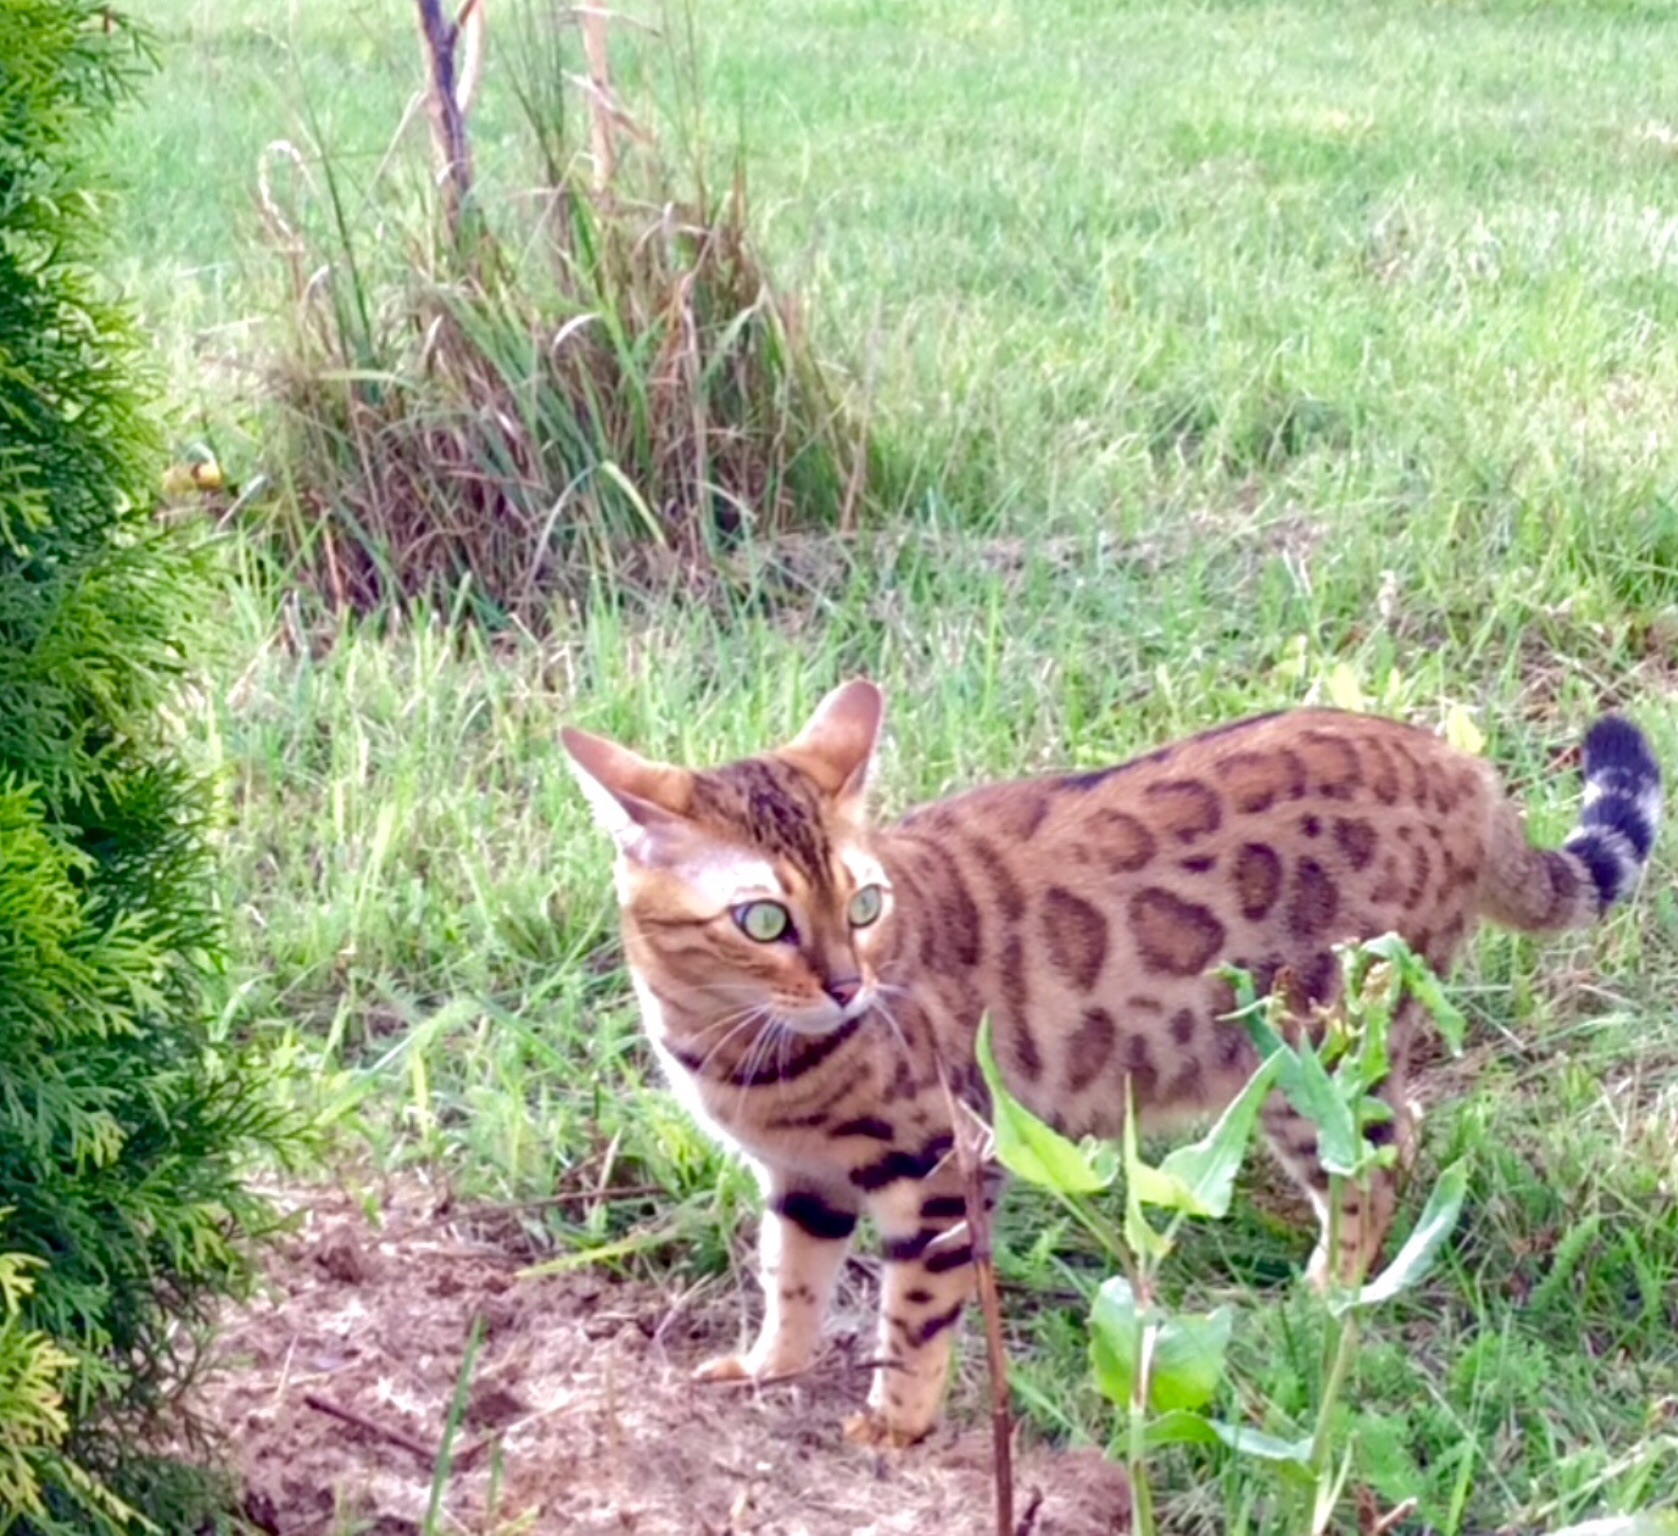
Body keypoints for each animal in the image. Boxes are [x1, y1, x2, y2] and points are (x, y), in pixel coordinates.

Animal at [563, 682, 1660, 1447]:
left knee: (1383, 1159)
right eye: (765, 920)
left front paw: (895, 1428)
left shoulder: (944, 1168)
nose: (844, 984)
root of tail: (1463, 772)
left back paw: (1327, 1296)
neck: (742, 1050)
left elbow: (912, 1321)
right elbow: (789, 1283)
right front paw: (767, 1369)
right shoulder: (801, 1180)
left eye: (863, 906)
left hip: (1312, 1054)